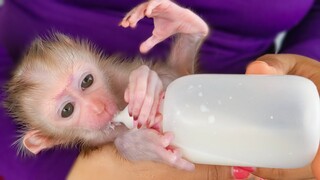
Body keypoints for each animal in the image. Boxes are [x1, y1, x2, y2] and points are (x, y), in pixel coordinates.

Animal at [4, 0, 210, 170]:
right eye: (67, 110)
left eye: (87, 81)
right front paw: (140, 146)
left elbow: (172, 76)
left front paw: (144, 86)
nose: (99, 107)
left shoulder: (115, 74)